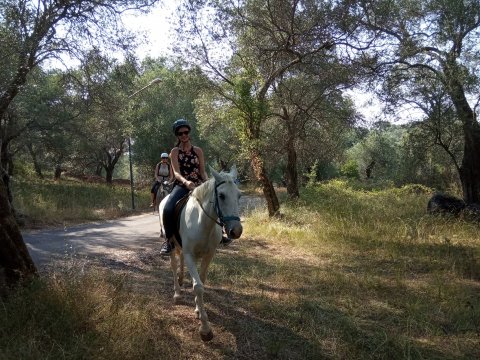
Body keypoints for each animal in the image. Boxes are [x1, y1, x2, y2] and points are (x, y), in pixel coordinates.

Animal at [158, 165, 242, 340]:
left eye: (239, 195)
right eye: (221, 195)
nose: (236, 231)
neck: (202, 222)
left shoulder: (209, 254)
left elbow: (201, 280)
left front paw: (198, 309)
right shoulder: (190, 254)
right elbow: (197, 286)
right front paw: (205, 328)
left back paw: (181, 279)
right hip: (171, 244)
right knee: (173, 264)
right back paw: (177, 293)